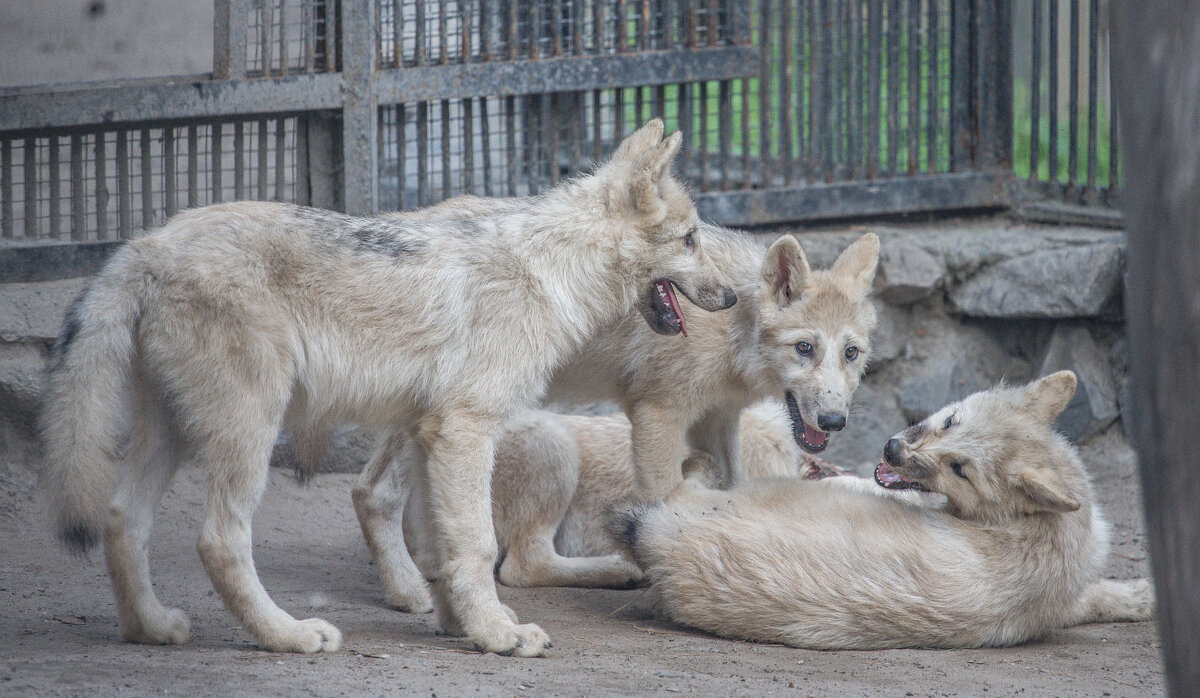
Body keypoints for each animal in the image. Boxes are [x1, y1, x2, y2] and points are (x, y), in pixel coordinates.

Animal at [39, 117, 739, 657]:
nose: (732, 296)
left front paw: (464, 627)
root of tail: (146, 243)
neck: (550, 268)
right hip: (249, 434)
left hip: (176, 436)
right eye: (691, 239)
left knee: (122, 519)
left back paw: (151, 629)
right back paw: (289, 637)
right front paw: (499, 637)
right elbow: (477, 545)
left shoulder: (432, 433)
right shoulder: (466, 429)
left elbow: (442, 549)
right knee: (219, 541)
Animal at [350, 231, 878, 614]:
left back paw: (410, 589)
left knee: (371, 494)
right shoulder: (658, 415)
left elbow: (727, 491)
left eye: (851, 353)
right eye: (805, 348)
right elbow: (666, 499)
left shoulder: (716, 417)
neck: (732, 328)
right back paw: (617, 570)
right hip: (548, 445)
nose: (834, 420)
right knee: (520, 565)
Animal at [619, 374, 1152, 652]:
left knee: (689, 480)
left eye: (960, 468)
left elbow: (1097, 597)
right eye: (951, 420)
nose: (892, 449)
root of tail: (670, 542)